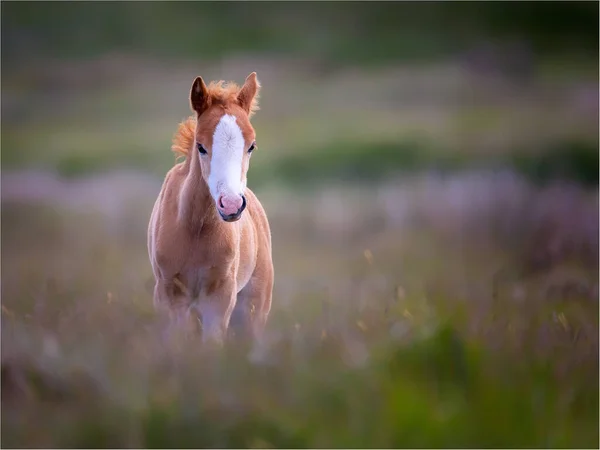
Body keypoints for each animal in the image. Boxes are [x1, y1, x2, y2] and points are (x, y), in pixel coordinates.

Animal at [148, 72, 274, 342]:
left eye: (251, 145)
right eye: (200, 146)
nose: (231, 205)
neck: (195, 228)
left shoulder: (220, 295)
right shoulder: (169, 294)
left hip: (254, 306)